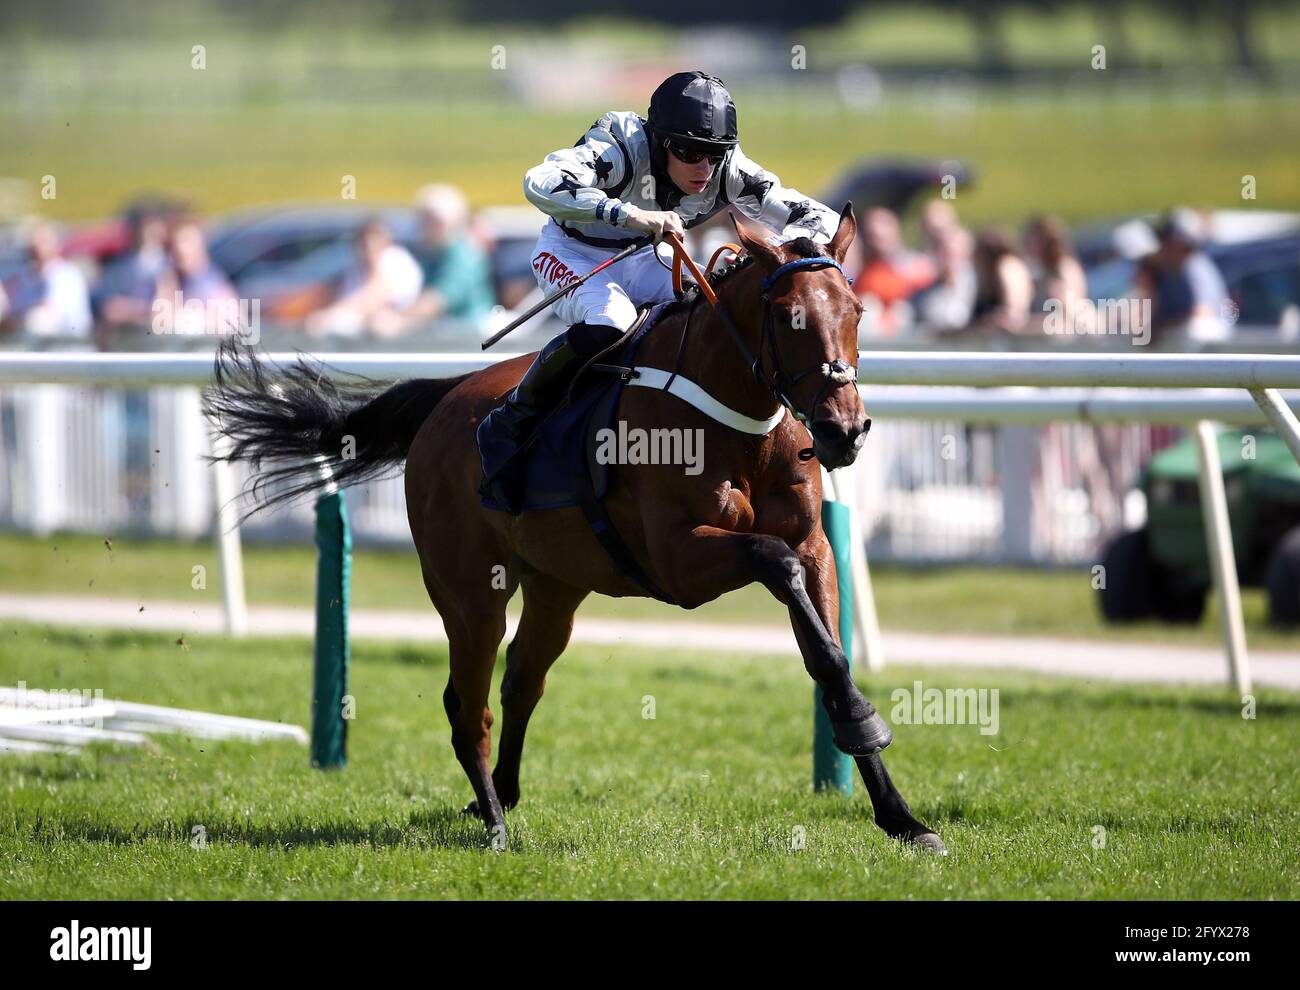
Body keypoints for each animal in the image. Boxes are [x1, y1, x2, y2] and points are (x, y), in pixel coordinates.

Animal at [208, 210, 951, 857]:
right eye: (788, 314)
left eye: (856, 312)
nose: (844, 430)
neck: (737, 419)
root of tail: (448, 399)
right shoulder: (680, 559)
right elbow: (774, 561)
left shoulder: (814, 545)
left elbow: (829, 655)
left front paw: (902, 814)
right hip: (468, 591)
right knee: (468, 703)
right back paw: (496, 826)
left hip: (556, 585)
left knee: (521, 679)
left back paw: (498, 795)